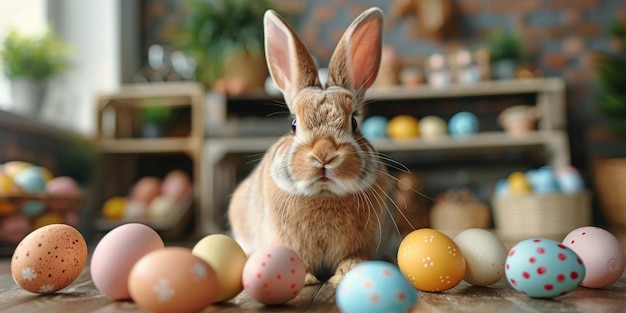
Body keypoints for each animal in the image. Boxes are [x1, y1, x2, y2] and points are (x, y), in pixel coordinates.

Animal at [224, 7, 390, 286]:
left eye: (355, 122)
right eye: (293, 124)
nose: (324, 154)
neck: (324, 194)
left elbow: (352, 257)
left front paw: (347, 273)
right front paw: (304, 277)